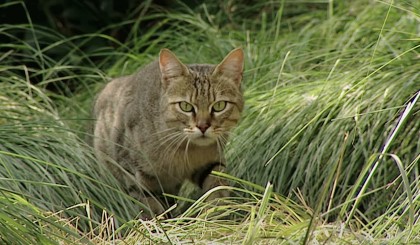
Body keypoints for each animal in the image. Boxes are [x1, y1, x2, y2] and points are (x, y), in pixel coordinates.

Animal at [92, 48, 243, 218]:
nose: (203, 126)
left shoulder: (210, 163)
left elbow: (217, 190)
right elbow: (150, 207)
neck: (185, 150)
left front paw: (215, 214)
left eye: (219, 105)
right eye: (185, 106)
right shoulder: (133, 172)